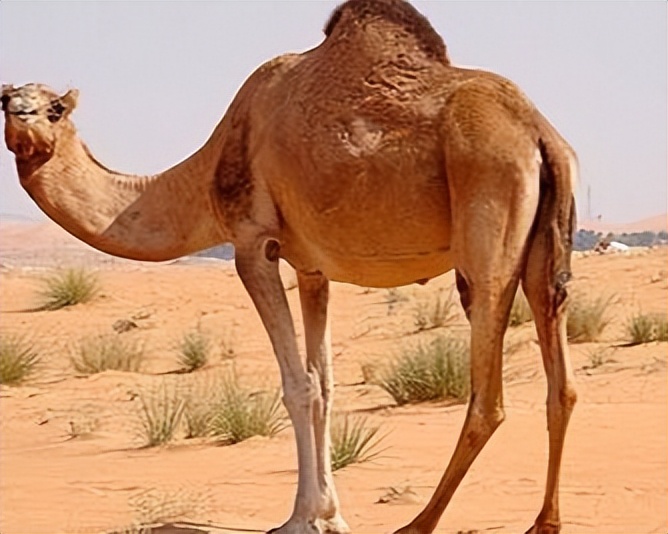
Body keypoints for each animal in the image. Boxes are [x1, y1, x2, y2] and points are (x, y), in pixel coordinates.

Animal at [1, 1, 578, 532]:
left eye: (56, 108)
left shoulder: (253, 243)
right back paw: (544, 521)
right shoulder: (312, 269)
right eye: (6, 99)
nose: (21, 115)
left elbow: (297, 385)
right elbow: (324, 384)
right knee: (561, 382)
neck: (204, 177)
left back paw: (418, 522)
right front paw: (330, 514)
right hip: (544, 247)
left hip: (487, 218)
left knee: (488, 395)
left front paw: (302, 518)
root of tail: (540, 133)